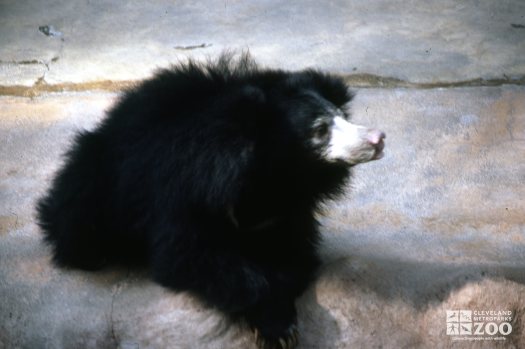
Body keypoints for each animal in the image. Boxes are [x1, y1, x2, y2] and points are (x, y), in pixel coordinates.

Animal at [34, 53, 382, 348]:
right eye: (319, 129)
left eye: (341, 116)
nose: (377, 138)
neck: (266, 179)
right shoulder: (188, 191)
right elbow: (187, 253)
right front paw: (277, 327)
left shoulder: (287, 210)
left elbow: (293, 253)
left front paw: (281, 321)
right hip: (99, 179)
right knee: (78, 217)